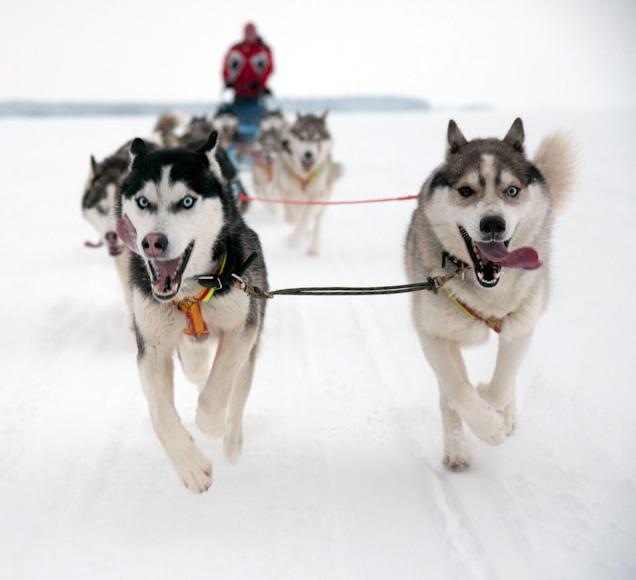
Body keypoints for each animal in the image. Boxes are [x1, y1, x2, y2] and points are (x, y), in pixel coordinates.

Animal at [115, 131, 268, 493]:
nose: (152, 242)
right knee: (198, 372)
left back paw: (232, 442)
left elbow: (218, 389)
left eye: (186, 202)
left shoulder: (242, 330)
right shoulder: (152, 348)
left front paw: (211, 425)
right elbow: (160, 415)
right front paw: (191, 467)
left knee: (236, 397)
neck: (187, 296)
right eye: (143, 202)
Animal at [274, 112, 342, 255]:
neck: (303, 176)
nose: (308, 154)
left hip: (324, 201)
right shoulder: (286, 192)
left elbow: (305, 217)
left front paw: (295, 239)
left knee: (316, 222)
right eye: (302, 137)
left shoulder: (316, 195)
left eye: (317, 139)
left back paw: (313, 247)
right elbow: (293, 214)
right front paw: (293, 231)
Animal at [405, 118, 574, 470]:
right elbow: (456, 388)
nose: (493, 223)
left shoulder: (520, 326)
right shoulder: (433, 333)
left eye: (512, 191)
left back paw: (504, 414)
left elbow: (500, 383)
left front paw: (491, 407)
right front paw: (486, 426)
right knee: (448, 392)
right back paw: (457, 449)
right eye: (466, 191)